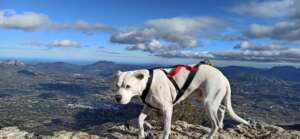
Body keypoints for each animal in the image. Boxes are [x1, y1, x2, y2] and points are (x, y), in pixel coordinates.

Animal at [114, 63, 248, 138]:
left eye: (128, 86)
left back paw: (210, 134)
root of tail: (224, 77)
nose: (117, 98)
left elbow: (166, 128)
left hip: (208, 103)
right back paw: (221, 125)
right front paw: (141, 134)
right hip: (207, 98)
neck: (148, 82)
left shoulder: (167, 109)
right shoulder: (148, 106)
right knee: (222, 108)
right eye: (117, 85)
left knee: (214, 124)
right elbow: (139, 119)